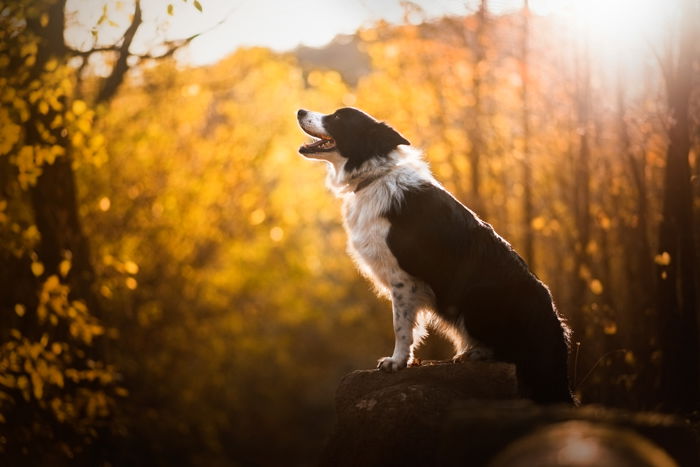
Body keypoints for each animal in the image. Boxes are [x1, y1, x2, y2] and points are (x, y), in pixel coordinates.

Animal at [296, 108, 576, 404]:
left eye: (338, 117)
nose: (300, 111)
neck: (374, 175)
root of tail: (553, 324)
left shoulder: (402, 278)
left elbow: (401, 325)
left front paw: (397, 362)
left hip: (477, 297)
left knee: (512, 354)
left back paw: (475, 352)